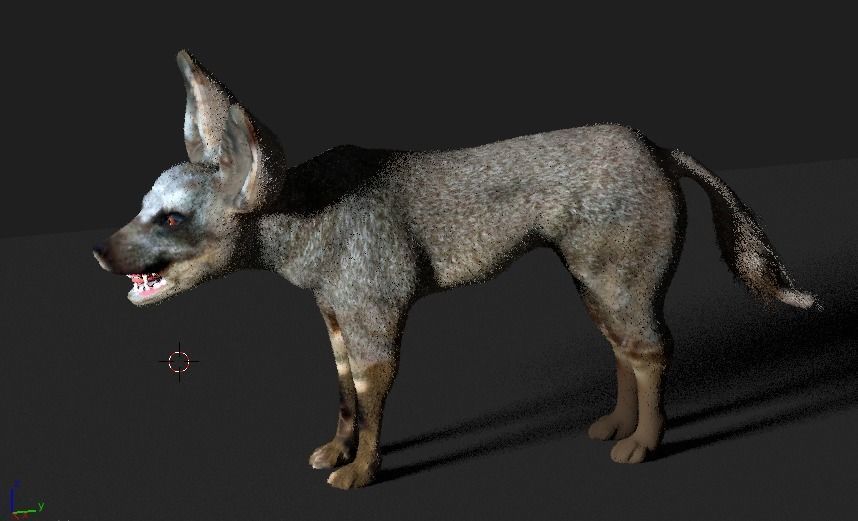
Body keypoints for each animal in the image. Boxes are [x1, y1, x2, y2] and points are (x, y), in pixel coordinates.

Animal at [93, 50, 816, 489]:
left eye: (172, 220)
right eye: (143, 205)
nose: (99, 251)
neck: (308, 219)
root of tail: (660, 150)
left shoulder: (378, 314)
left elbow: (371, 398)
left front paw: (359, 472)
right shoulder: (335, 316)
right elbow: (344, 394)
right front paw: (335, 451)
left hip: (621, 278)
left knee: (651, 350)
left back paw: (643, 442)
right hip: (594, 280)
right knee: (623, 348)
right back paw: (616, 426)